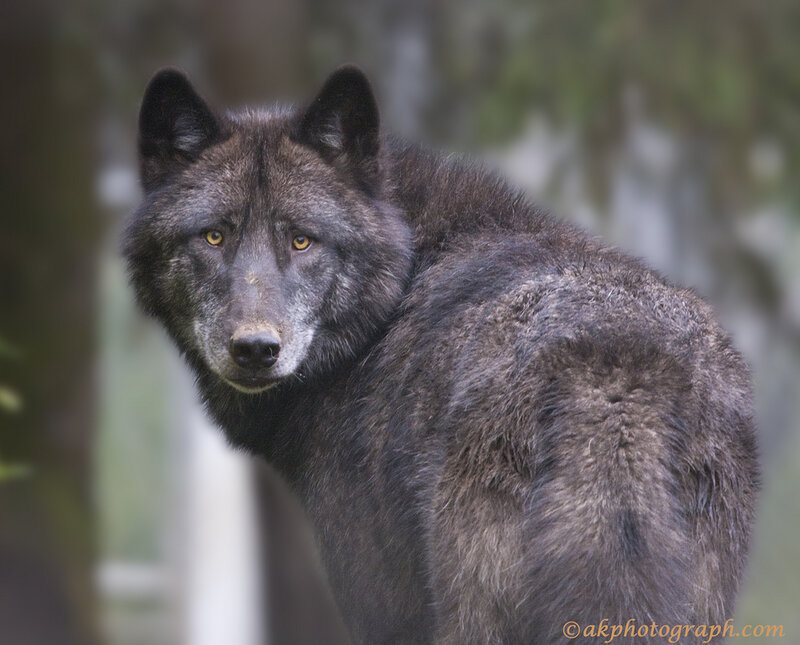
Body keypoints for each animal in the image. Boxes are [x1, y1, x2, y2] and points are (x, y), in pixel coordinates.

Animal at [125, 65, 759, 644]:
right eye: (214, 236)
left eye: (302, 240)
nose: (256, 349)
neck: (401, 281)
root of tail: (614, 381)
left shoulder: (378, 602)